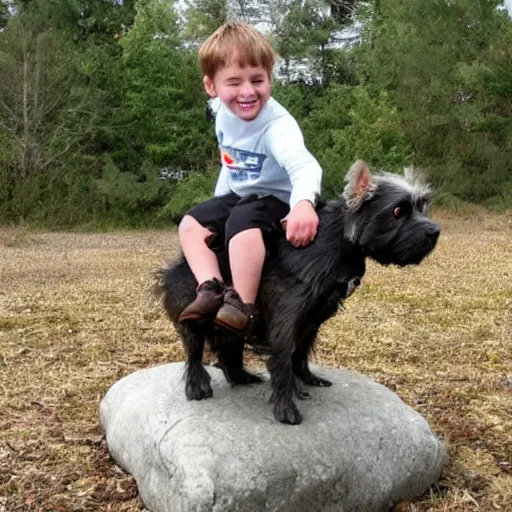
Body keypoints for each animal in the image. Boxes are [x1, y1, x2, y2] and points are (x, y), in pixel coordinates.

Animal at [157, 160, 440, 424]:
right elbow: (283, 357)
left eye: (422, 206)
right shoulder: (286, 316)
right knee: (194, 352)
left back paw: (242, 376)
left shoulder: (313, 317)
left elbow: (301, 352)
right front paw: (286, 406)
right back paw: (197, 386)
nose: (435, 231)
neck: (340, 242)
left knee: (229, 348)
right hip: (195, 315)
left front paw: (305, 379)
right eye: (397, 211)